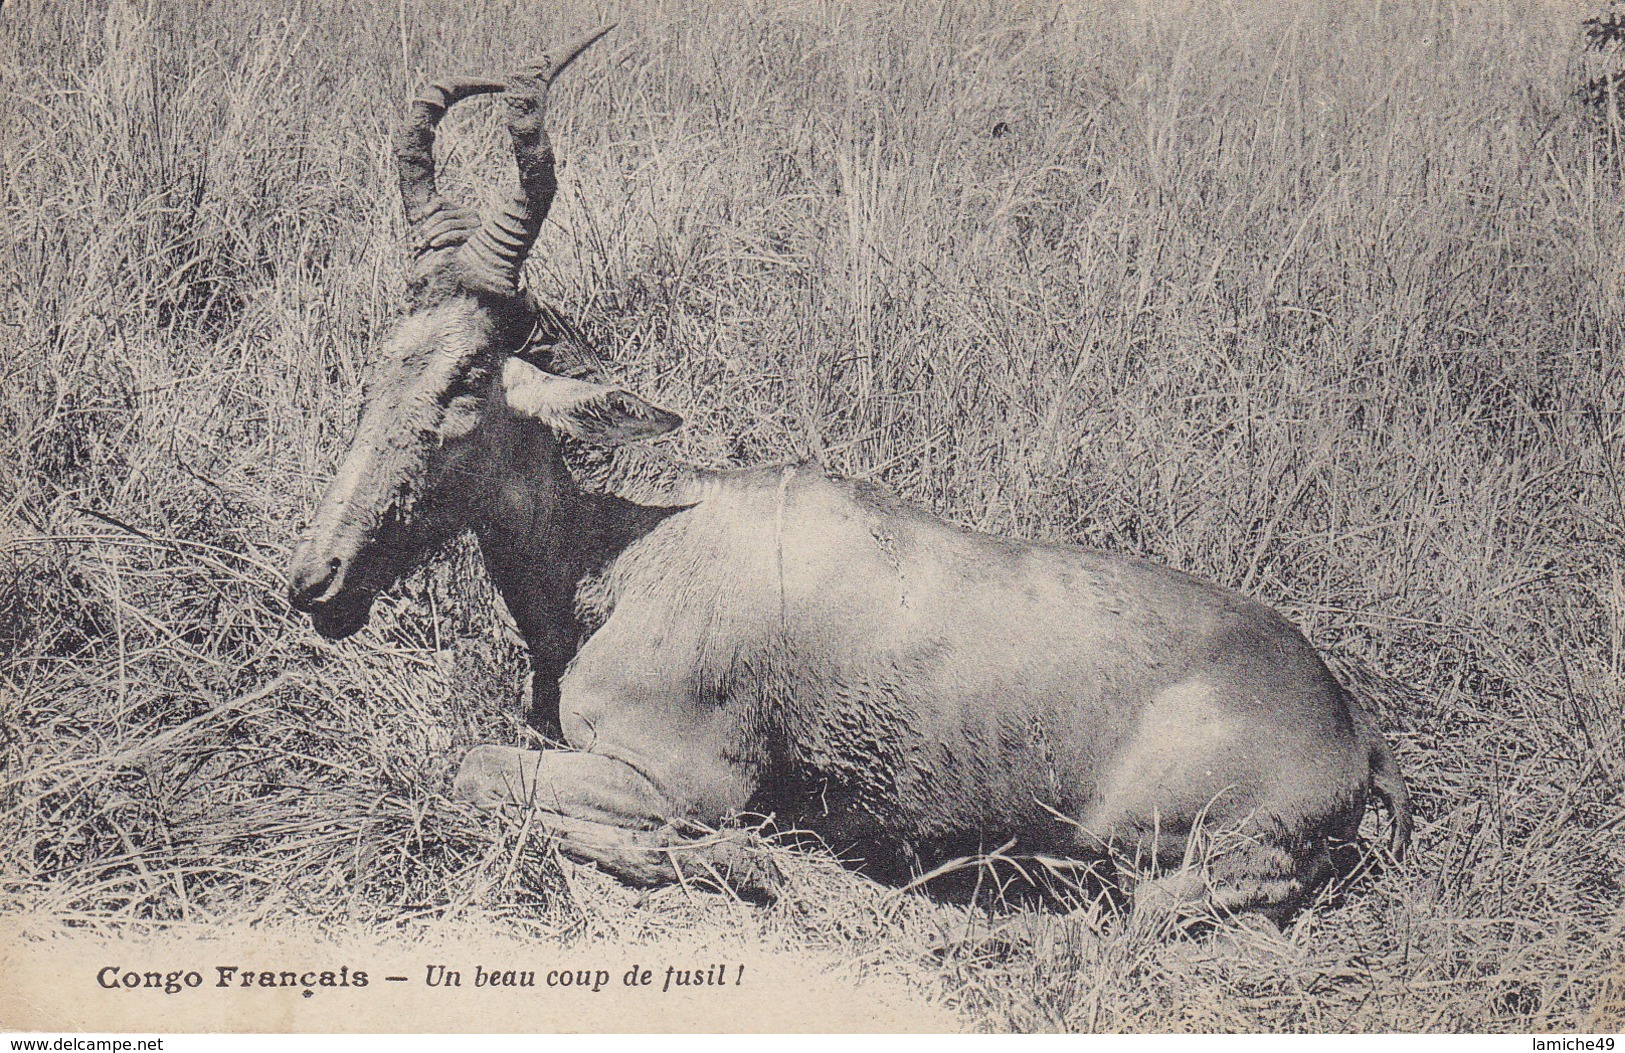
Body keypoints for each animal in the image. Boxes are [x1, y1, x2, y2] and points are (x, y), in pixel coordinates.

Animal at [289, 30, 1410, 923]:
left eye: (469, 377)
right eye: (386, 357)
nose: (317, 582)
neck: (643, 551)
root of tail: (1346, 727)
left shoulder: (676, 780)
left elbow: (475, 766)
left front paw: (742, 865)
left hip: (1176, 849)